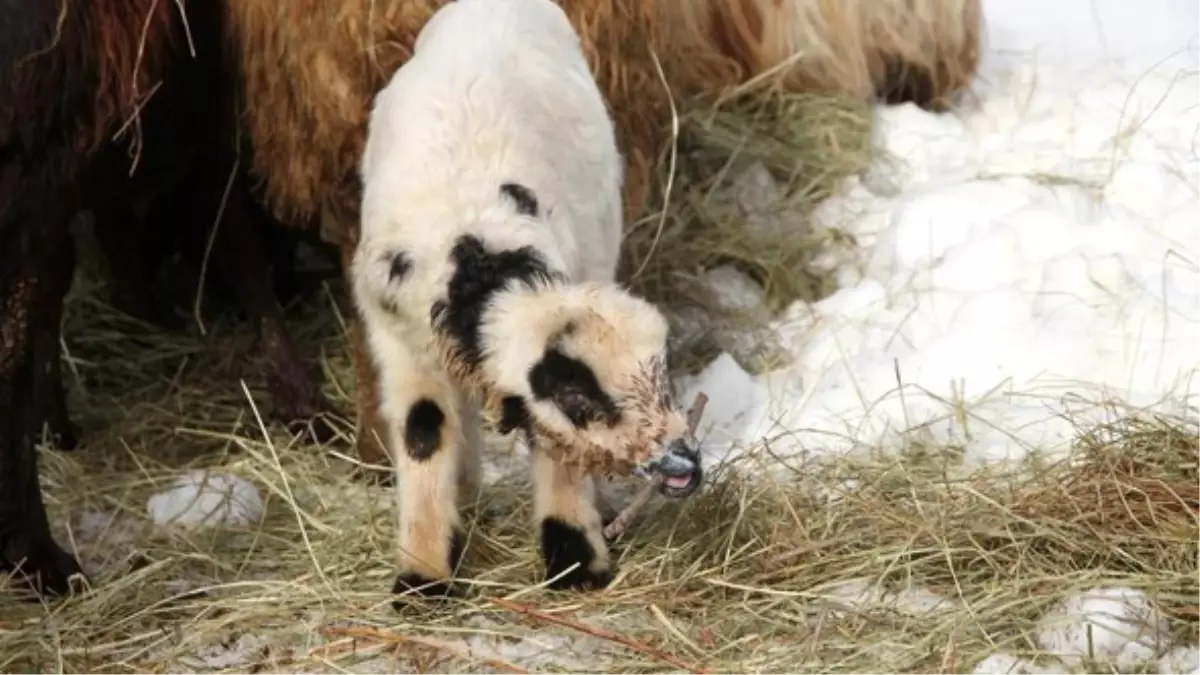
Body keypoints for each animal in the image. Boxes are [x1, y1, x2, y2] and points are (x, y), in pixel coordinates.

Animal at [348, 0, 700, 595]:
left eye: (666, 371)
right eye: (578, 399)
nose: (683, 464)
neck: (474, 256)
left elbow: (551, 445)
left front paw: (576, 560)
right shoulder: (400, 341)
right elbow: (424, 430)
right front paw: (421, 576)